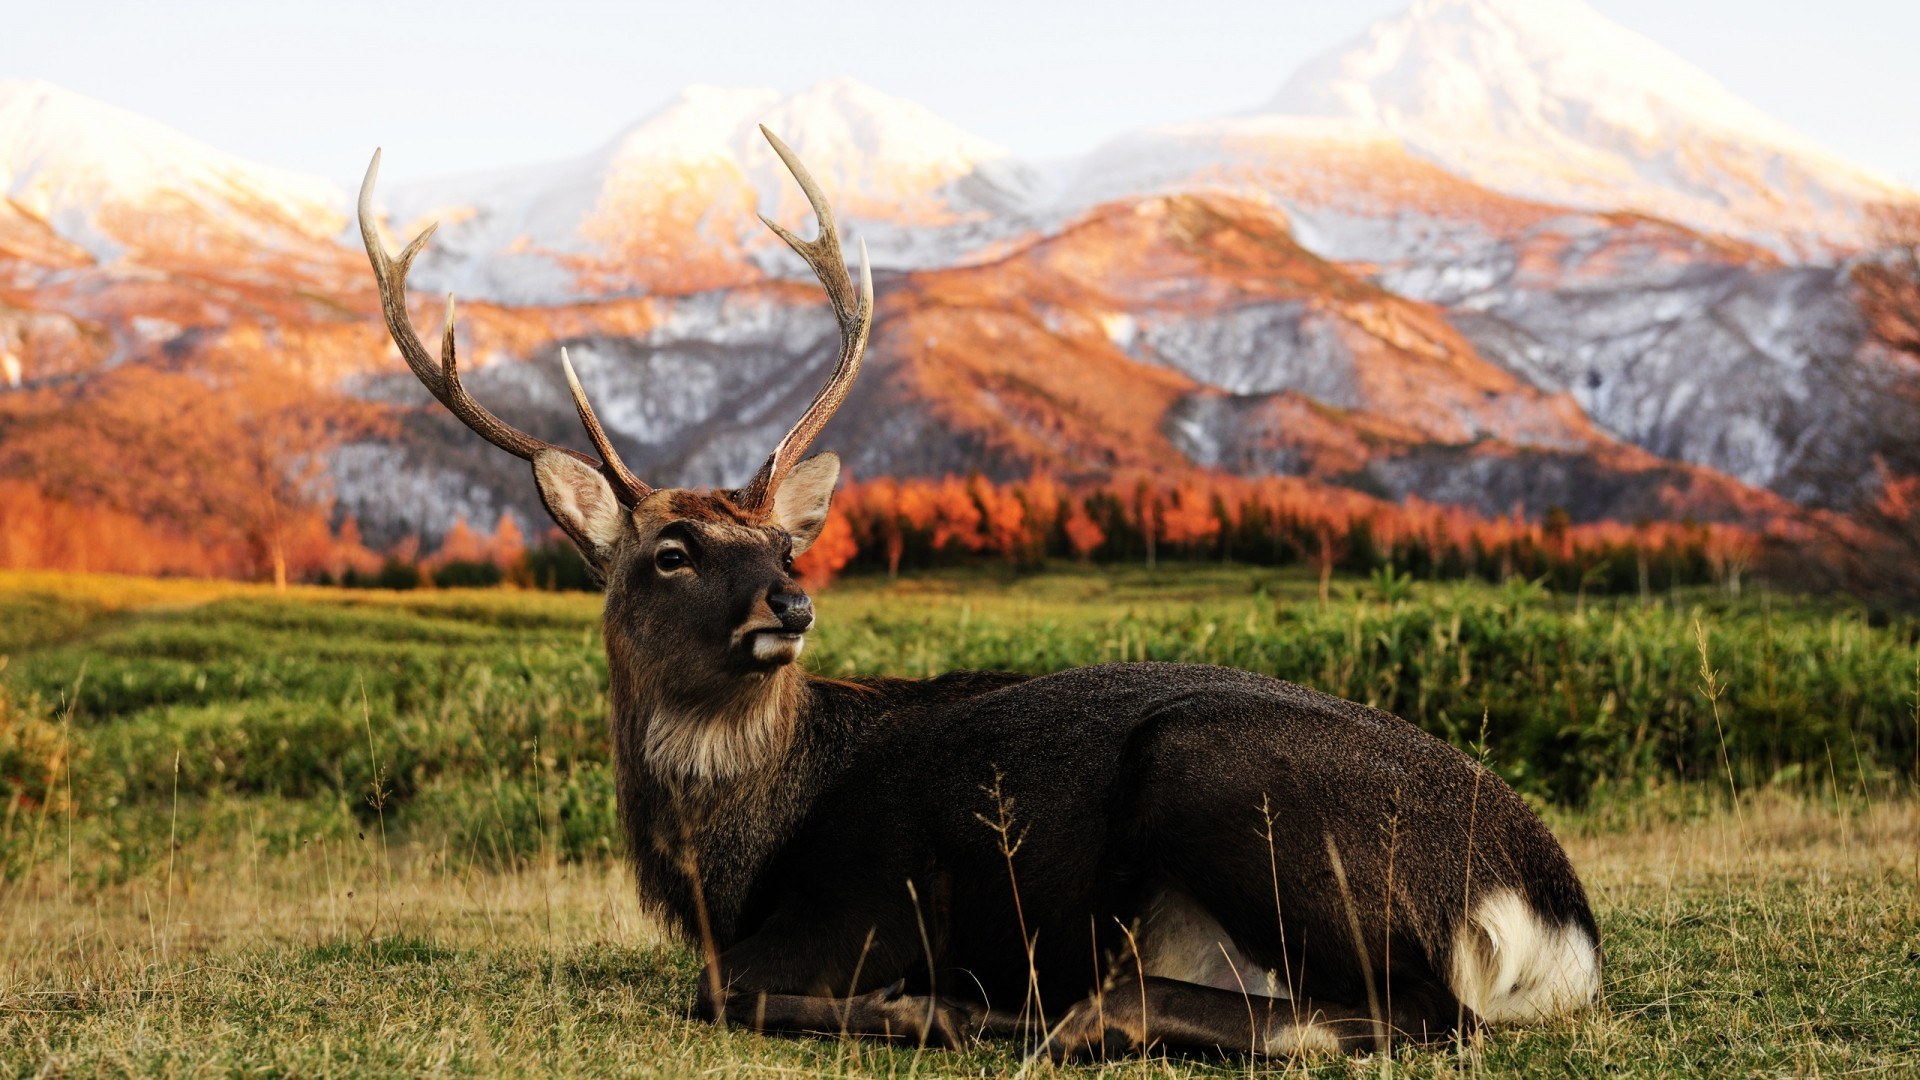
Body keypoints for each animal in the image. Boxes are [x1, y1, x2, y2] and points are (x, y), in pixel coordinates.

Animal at [356, 128, 1601, 1060]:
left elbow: (718, 991)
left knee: (1418, 1014)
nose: (788, 608)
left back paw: (1041, 1012)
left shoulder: (863, 903)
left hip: (1229, 781)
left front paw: (924, 1006)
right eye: (671, 551)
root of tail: (1554, 917)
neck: (730, 862)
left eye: (784, 545)